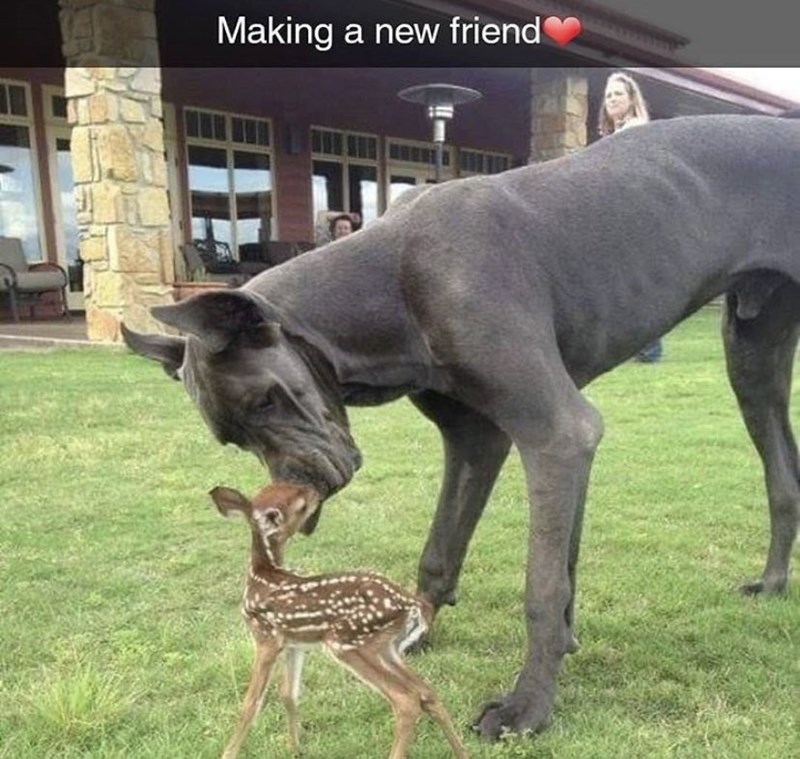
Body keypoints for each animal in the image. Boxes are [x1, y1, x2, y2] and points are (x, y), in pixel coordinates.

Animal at [211, 484, 468, 759]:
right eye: (300, 503)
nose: (315, 490)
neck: (261, 576)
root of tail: (412, 605)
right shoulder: (294, 642)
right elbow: (288, 694)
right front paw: (295, 749)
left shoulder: (266, 636)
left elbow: (250, 704)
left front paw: (228, 753)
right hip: (386, 647)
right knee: (427, 692)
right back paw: (463, 754)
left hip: (348, 641)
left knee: (406, 700)